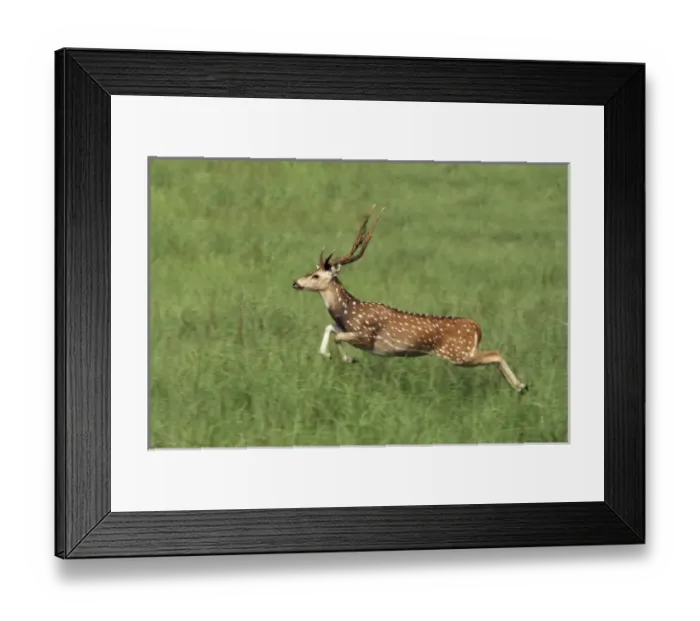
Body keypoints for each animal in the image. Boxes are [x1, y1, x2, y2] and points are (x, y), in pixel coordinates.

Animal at [291, 208, 529, 394]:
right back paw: (521, 387)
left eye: (316, 276)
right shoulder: (346, 327)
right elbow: (330, 328)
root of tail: (477, 327)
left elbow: (339, 336)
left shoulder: (367, 336)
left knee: (496, 353)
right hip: (463, 353)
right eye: (311, 271)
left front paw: (349, 359)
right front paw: (327, 354)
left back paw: (521, 386)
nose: (295, 282)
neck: (349, 311)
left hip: (459, 354)